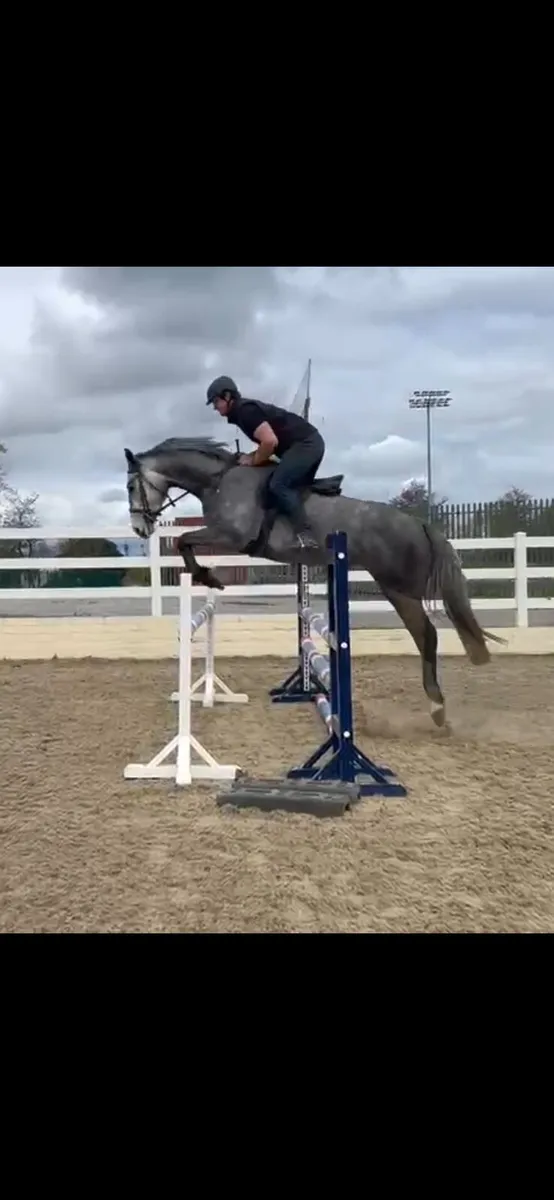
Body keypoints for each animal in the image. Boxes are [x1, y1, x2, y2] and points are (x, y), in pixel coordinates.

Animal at [124, 436, 504, 727]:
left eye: (130, 486)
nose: (139, 529)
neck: (218, 480)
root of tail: (418, 523)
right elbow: (184, 541)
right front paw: (207, 576)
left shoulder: (231, 536)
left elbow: (182, 540)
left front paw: (206, 575)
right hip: (396, 587)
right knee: (428, 633)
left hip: (400, 588)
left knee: (428, 634)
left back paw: (437, 707)